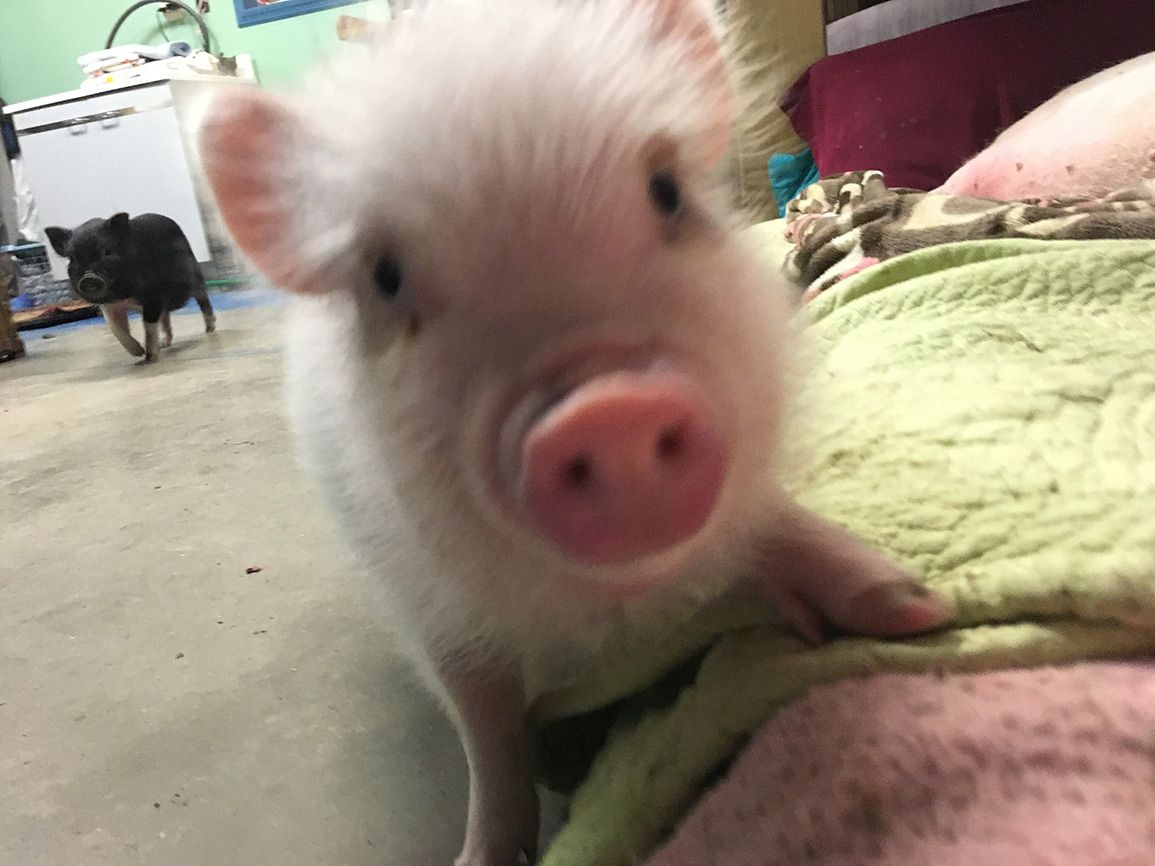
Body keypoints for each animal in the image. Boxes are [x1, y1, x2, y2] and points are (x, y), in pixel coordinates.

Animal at [200, 3, 956, 863]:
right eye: (385, 278)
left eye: (665, 192)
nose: (608, 409)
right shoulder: (420, 590)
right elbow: (486, 727)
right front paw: (480, 855)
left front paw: (920, 612)